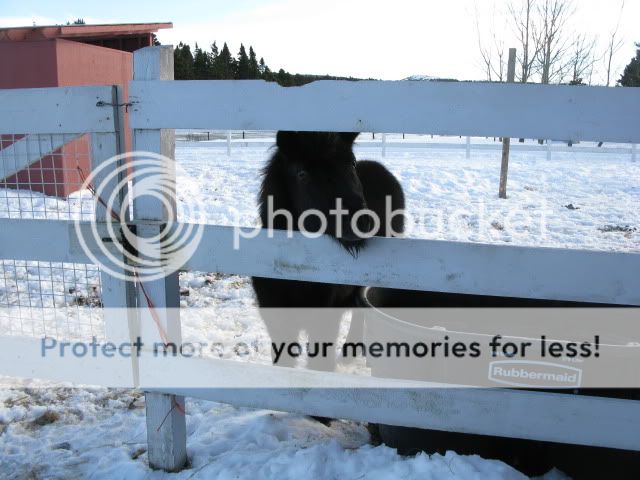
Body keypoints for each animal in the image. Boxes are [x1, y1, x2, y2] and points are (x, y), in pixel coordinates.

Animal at [251, 131, 404, 372]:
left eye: (352, 163)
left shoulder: (324, 324)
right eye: (302, 173)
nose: (360, 221)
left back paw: (350, 352)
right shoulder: (278, 324)